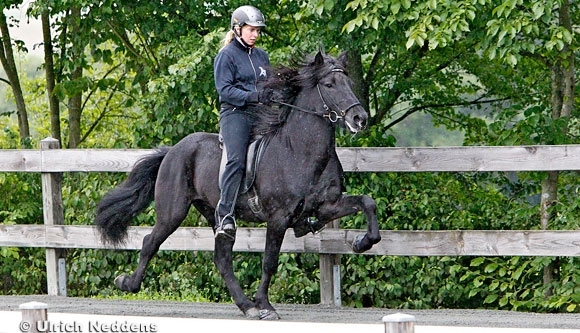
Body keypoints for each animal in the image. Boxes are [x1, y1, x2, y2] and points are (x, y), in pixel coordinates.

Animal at [94, 50, 380, 320]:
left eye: (349, 82)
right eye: (330, 84)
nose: (360, 118)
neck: (299, 150)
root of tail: (172, 151)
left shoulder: (327, 206)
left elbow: (367, 203)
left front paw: (361, 243)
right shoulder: (278, 218)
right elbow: (269, 261)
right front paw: (266, 305)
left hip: (215, 215)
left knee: (222, 259)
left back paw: (246, 306)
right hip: (172, 213)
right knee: (150, 242)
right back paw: (127, 283)